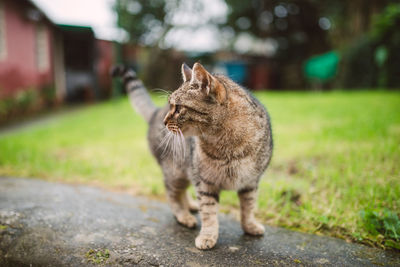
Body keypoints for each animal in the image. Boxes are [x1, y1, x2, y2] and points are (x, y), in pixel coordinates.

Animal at [114, 63, 274, 251]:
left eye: (177, 108)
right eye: (170, 106)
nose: (164, 121)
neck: (228, 145)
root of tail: (155, 114)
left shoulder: (250, 182)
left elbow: (248, 207)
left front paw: (250, 226)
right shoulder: (205, 182)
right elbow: (209, 213)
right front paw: (207, 236)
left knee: (181, 192)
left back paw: (190, 205)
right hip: (176, 172)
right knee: (172, 194)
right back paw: (184, 216)